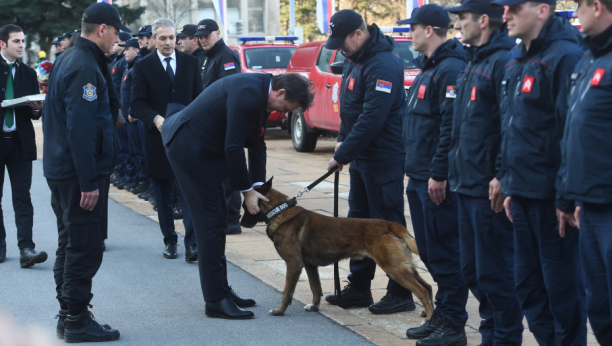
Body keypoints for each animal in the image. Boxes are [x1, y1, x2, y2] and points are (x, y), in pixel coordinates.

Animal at [239, 178, 436, 318]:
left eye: (245, 206)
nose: (240, 223)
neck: (279, 211)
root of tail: (390, 225)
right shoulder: (310, 266)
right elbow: (315, 288)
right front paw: (314, 306)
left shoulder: (293, 265)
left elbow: (287, 292)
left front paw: (279, 311)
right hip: (405, 267)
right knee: (427, 287)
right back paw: (429, 315)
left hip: (394, 269)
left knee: (421, 291)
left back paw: (428, 320)